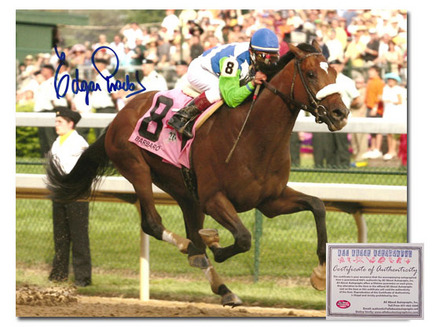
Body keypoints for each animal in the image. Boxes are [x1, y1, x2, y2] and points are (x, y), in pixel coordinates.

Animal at [46, 41, 348, 308]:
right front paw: (215, 246)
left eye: (334, 74)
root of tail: (119, 115)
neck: (253, 135)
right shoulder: (214, 199)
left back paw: (223, 287)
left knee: (189, 230)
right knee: (153, 224)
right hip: (136, 167)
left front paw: (320, 271)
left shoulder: (270, 201)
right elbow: (243, 238)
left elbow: (317, 206)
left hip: (184, 191)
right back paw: (193, 250)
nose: (340, 113)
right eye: (311, 74)